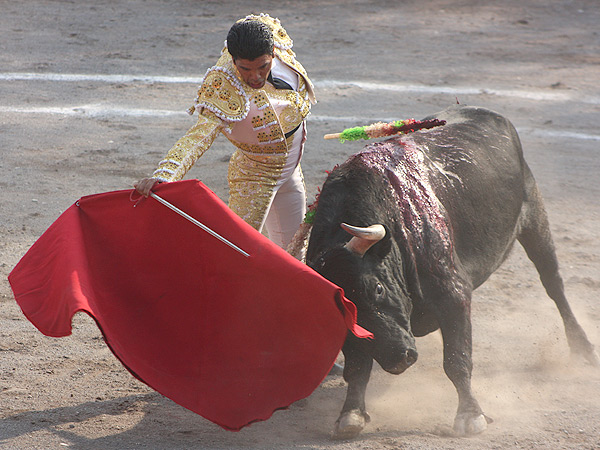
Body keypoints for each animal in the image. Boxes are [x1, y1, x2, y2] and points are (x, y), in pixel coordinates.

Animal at [308, 103, 596, 438]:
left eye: (377, 288)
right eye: (343, 310)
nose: (399, 359)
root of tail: (489, 113)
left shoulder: (453, 295)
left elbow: (457, 360)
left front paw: (471, 415)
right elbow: (357, 367)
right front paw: (351, 414)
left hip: (536, 218)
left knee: (553, 284)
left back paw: (583, 348)